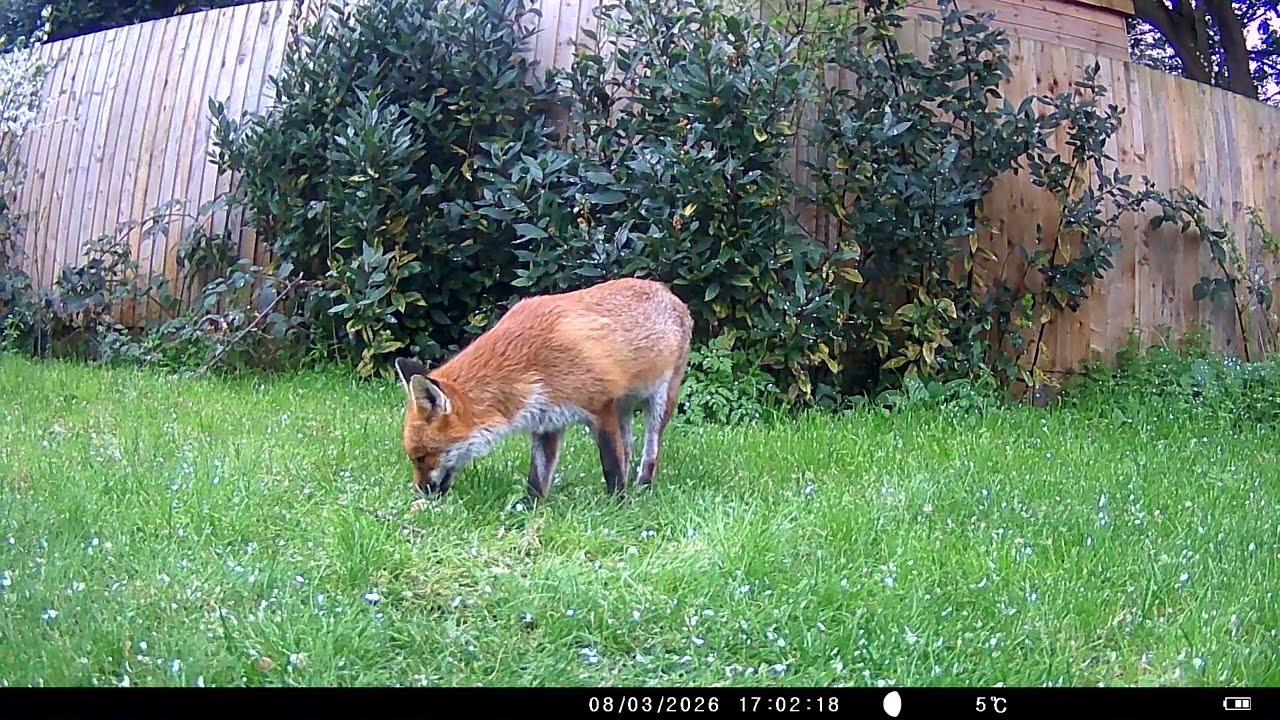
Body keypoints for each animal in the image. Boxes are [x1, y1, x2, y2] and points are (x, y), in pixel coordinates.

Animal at [393, 277, 694, 502]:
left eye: (421, 457)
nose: (419, 492)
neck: (528, 360)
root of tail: (667, 291)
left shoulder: (600, 406)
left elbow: (611, 466)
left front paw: (617, 505)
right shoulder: (547, 423)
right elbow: (537, 478)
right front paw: (528, 511)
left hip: (660, 402)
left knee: (650, 451)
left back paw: (642, 486)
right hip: (624, 409)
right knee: (627, 449)